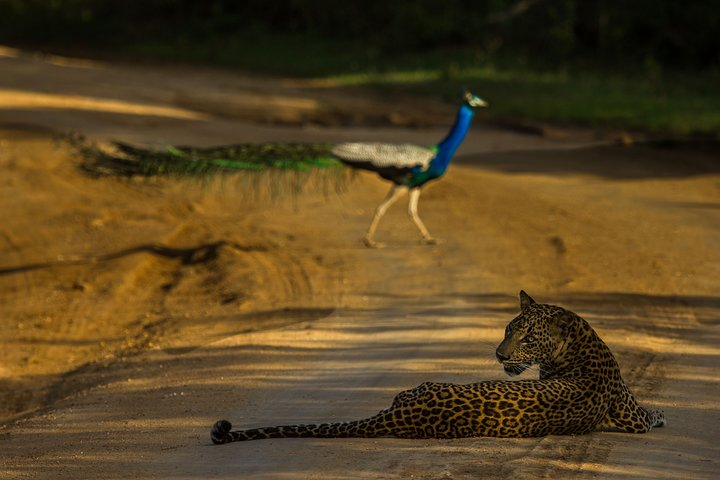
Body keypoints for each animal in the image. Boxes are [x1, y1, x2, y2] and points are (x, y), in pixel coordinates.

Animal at [211, 288, 668, 442]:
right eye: (507, 329)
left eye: (526, 338)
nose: (500, 355)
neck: (580, 339)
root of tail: (399, 417)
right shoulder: (631, 416)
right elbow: (649, 414)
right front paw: (664, 412)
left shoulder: (629, 415)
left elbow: (648, 413)